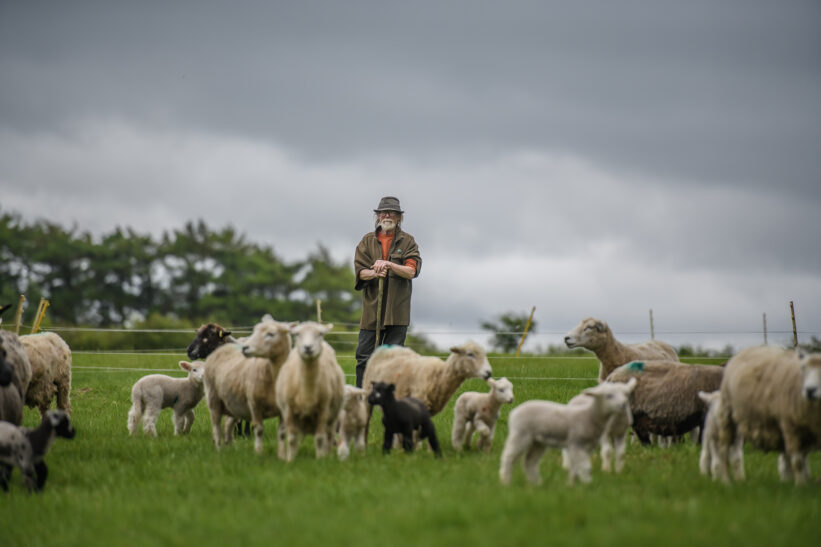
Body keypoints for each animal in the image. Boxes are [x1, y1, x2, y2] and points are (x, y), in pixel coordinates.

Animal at [203, 314, 294, 456]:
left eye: (271, 334)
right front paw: (258, 452)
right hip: (214, 400)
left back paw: (231, 445)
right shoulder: (254, 403)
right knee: (217, 426)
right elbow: (258, 428)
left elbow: (281, 432)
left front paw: (281, 455)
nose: (246, 348)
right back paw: (220, 448)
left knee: (229, 424)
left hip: (231, 402)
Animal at [276, 322, 346, 462]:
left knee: (329, 436)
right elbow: (292, 439)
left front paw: (320, 460)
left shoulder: (323, 410)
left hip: (333, 416)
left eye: (320, 334)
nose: (308, 348)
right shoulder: (288, 411)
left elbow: (319, 438)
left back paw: (328, 456)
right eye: (297, 334)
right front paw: (290, 460)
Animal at [496, 378, 636, 486]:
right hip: (522, 436)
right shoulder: (598, 437)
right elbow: (604, 453)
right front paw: (604, 472)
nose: (623, 405)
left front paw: (618, 472)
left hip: (538, 442)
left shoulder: (620, 435)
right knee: (510, 457)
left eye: (627, 394)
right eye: (609, 395)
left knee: (530, 462)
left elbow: (621, 454)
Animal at [712, 348, 820, 486]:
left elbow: (801, 460)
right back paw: (726, 481)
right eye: (804, 368)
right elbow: (798, 461)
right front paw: (801, 485)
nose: (810, 390)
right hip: (728, 416)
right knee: (723, 449)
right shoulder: (791, 426)